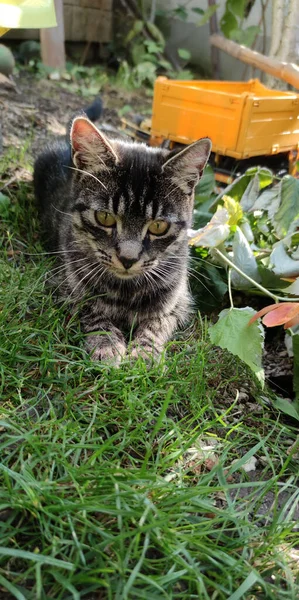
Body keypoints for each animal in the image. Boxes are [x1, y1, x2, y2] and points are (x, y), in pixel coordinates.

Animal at [34, 116, 212, 360]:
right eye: (104, 217)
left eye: (158, 226)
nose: (128, 258)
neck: (126, 291)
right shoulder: (65, 285)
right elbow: (90, 310)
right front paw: (106, 344)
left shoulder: (179, 302)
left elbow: (157, 324)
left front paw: (145, 354)